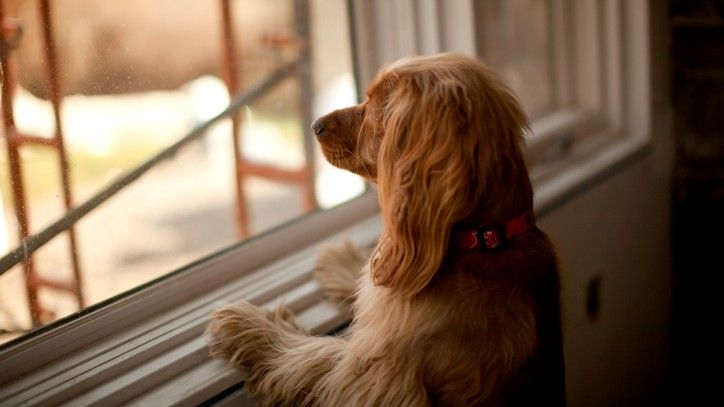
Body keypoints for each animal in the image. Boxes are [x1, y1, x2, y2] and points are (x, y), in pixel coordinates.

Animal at [209, 52, 564, 406]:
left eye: (375, 107)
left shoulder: (378, 381)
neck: (482, 240)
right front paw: (341, 259)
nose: (315, 124)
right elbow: (366, 285)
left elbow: (314, 353)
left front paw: (248, 323)